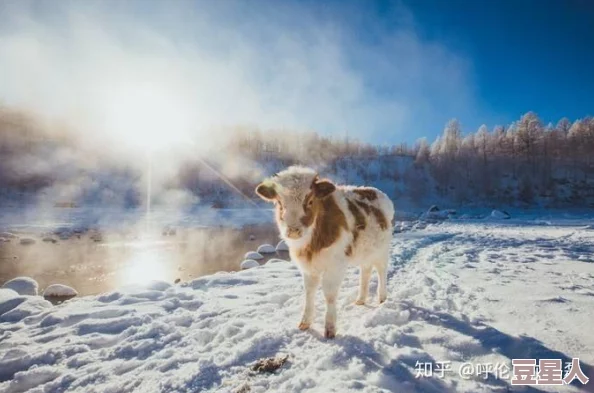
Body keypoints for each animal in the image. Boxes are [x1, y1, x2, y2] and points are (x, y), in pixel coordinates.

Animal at [254, 165, 394, 336]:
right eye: (279, 202)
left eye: (310, 201)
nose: (293, 231)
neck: (312, 244)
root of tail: (374, 190)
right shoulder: (308, 267)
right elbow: (309, 292)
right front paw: (305, 322)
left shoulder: (335, 265)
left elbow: (329, 294)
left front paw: (330, 328)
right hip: (365, 251)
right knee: (366, 271)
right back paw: (361, 299)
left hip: (382, 250)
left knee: (381, 271)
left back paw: (382, 298)